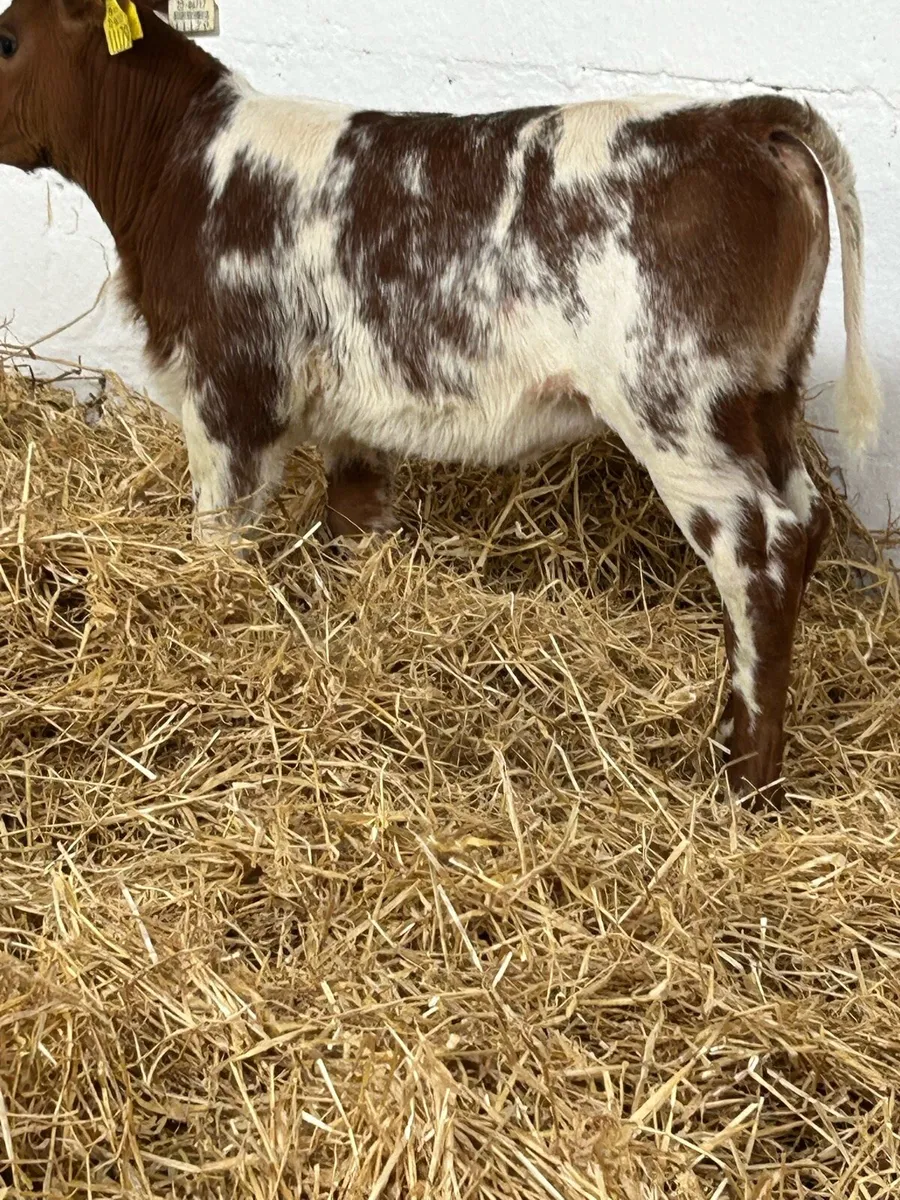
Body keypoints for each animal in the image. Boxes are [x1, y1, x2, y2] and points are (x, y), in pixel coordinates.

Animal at [0, 0, 883, 802]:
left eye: (6, 38)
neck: (182, 169)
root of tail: (743, 116)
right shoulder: (347, 411)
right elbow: (353, 521)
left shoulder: (232, 389)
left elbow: (217, 539)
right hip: (766, 396)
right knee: (806, 522)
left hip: (678, 405)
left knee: (760, 552)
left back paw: (744, 776)